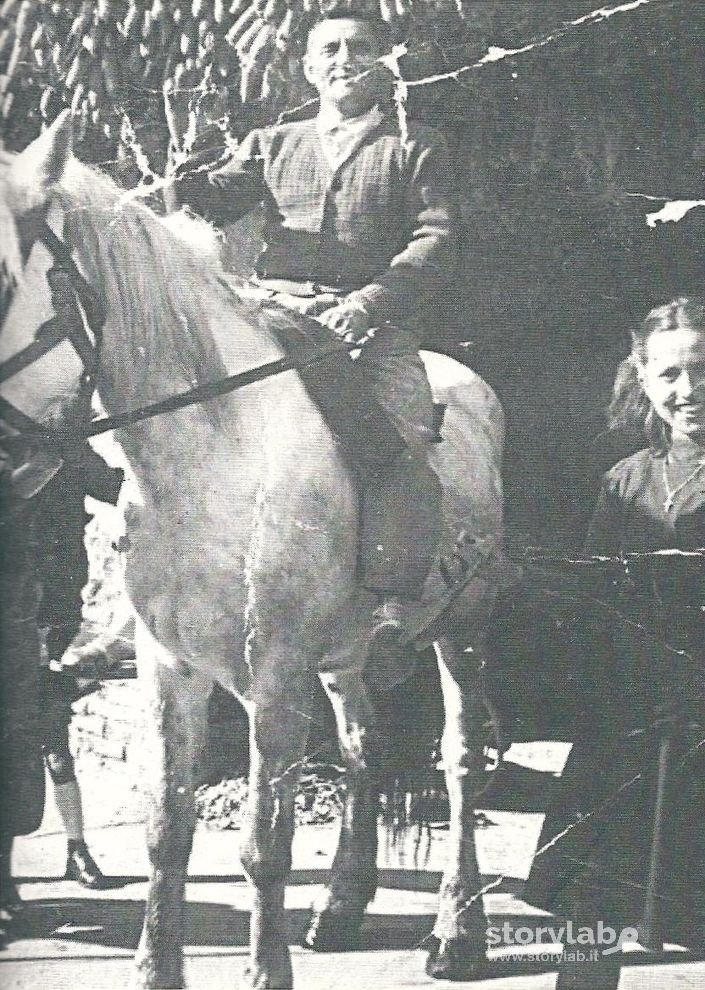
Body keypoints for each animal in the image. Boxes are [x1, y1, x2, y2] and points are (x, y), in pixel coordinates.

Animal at [0, 112, 508, 988]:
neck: (211, 456)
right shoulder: (168, 668)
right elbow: (167, 833)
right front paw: (155, 969)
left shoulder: (274, 673)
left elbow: (264, 847)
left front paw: (265, 969)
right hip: (342, 658)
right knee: (362, 749)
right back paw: (341, 905)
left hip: (460, 632)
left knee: (460, 762)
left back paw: (457, 930)